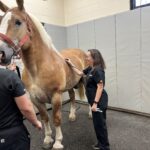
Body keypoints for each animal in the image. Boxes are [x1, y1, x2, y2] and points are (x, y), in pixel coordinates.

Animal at [0, 0, 89, 149]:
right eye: (0, 21)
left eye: (18, 22)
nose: (1, 54)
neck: (38, 69)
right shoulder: (35, 99)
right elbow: (45, 117)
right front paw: (47, 139)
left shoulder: (56, 96)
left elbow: (56, 119)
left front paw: (58, 142)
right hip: (71, 86)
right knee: (71, 98)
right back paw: (72, 116)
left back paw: (90, 114)